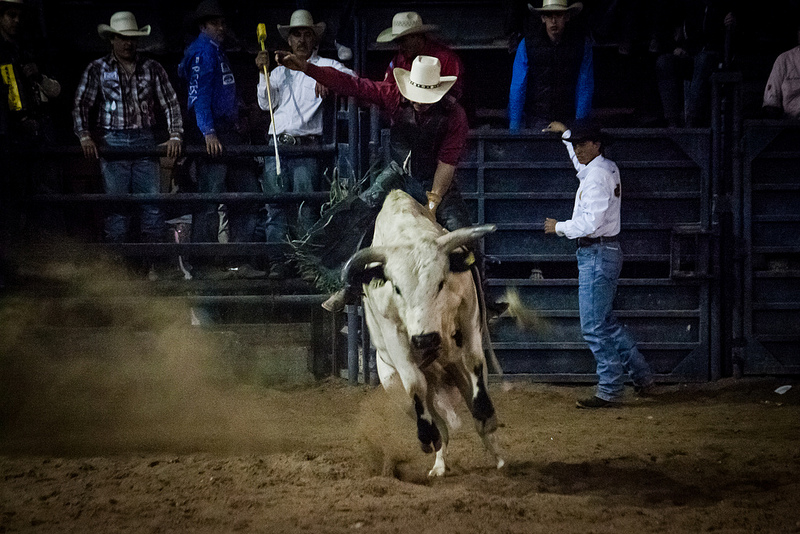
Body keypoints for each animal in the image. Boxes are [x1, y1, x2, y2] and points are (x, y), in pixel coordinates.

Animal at [340, 191, 504, 480]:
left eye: (440, 283)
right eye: (396, 287)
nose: (425, 340)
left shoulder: (468, 310)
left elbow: (474, 360)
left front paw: (486, 413)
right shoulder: (392, 331)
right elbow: (414, 382)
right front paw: (426, 435)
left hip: (457, 372)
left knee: (476, 415)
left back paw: (495, 453)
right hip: (393, 385)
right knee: (440, 426)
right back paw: (437, 462)